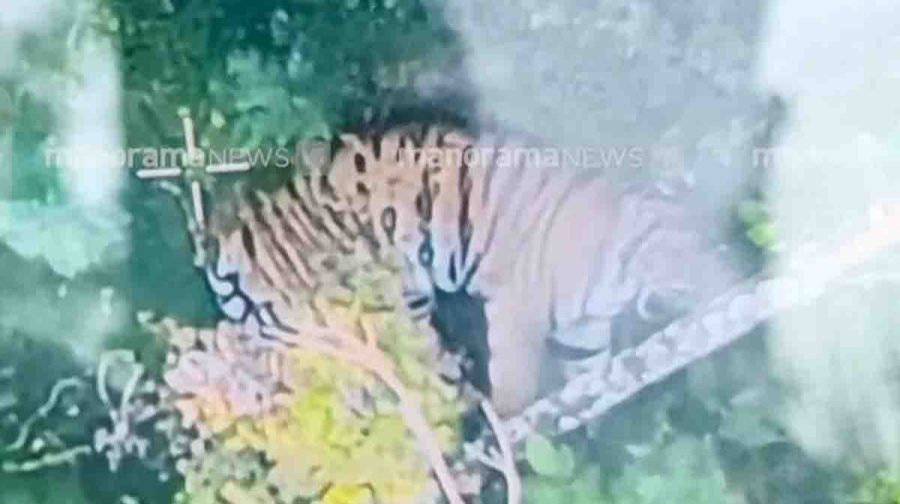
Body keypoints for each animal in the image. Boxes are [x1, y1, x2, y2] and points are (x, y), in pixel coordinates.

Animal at [200, 123, 736, 416]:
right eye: (696, 248)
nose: (727, 284)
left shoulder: (583, 332)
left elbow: (588, 376)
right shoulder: (519, 307)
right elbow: (517, 382)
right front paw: (516, 430)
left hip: (398, 305)